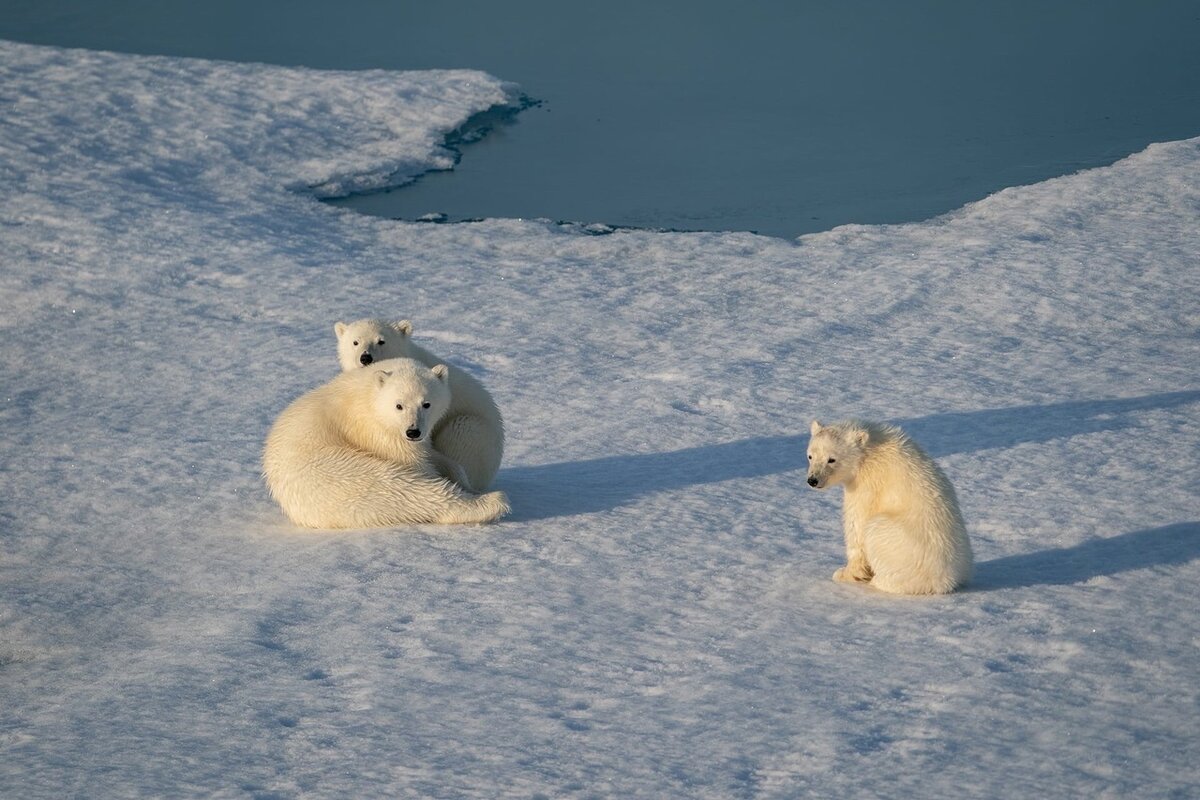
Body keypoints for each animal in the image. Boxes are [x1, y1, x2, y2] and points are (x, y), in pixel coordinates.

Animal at [260, 359, 508, 527]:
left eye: (426, 403)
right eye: (399, 405)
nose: (413, 431)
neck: (370, 394)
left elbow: (433, 455)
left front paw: (460, 477)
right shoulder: (375, 431)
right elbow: (414, 464)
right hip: (339, 474)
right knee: (402, 488)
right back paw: (490, 502)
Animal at [806, 419, 964, 594]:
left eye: (831, 459)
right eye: (810, 456)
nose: (813, 480)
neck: (869, 451)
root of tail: (945, 582)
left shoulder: (868, 484)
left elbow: (857, 525)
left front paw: (844, 573)